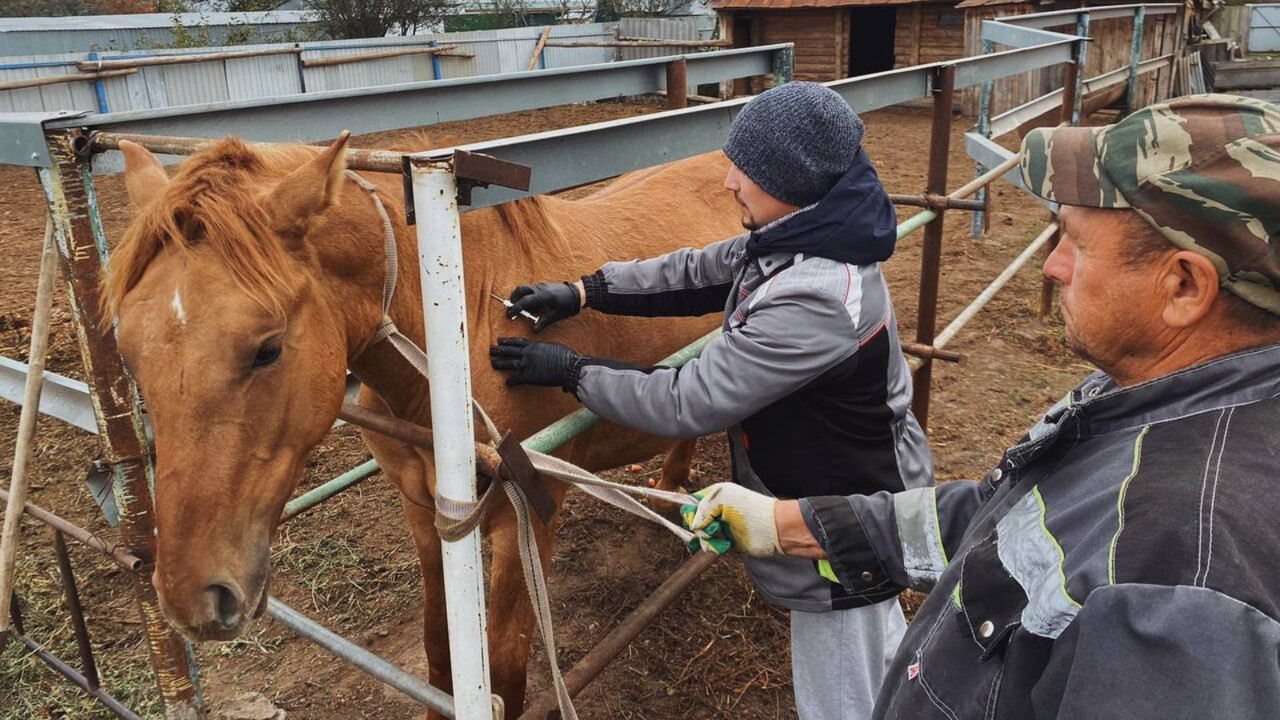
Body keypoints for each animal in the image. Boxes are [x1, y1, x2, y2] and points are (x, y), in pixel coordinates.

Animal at [106, 133, 747, 712]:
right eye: (127, 348)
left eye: (267, 348)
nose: (191, 598)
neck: (461, 332)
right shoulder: (422, 510)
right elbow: (440, 651)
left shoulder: (524, 521)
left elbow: (506, 672)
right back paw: (673, 498)